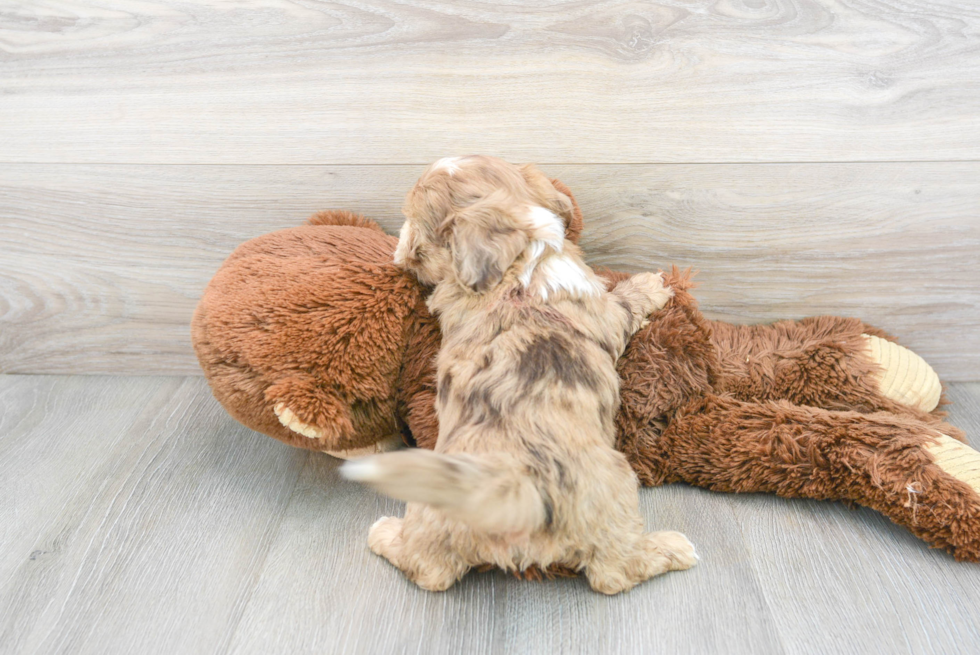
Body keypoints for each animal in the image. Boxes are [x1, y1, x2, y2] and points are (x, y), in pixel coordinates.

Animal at [344, 155, 696, 596]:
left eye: (415, 226)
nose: (399, 251)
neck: (522, 256)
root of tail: (512, 498)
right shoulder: (607, 314)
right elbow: (625, 302)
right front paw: (652, 284)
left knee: (431, 569)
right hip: (615, 488)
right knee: (614, 572)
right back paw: (673, 547)